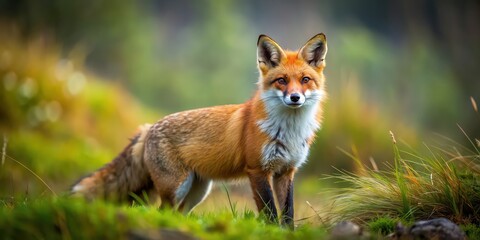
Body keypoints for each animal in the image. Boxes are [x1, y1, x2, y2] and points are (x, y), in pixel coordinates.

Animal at [70, 33, 326, 227]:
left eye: (305, 80)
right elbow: (271, 213)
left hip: (197, 191)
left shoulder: (286, 171)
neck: (288, 130)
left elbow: (288, 213)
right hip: (177, 187)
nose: (295, 97)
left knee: (177, 214)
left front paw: (288, 233)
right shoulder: (257, 170)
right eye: (282, 80)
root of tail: (149, 127)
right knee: (161, 212)